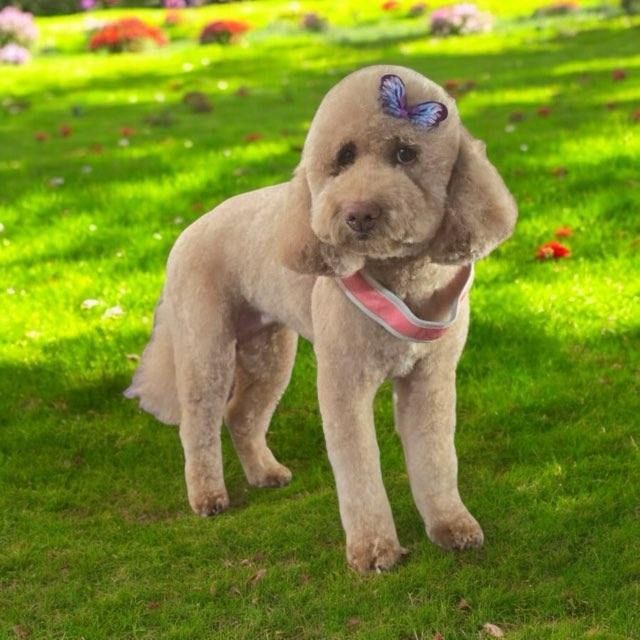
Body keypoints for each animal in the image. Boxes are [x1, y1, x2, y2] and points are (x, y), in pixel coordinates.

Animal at [124, 65, 516, 572]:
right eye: (343, 157)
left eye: (406, 153)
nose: (359, 214)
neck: (397, 275)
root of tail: (188, 230)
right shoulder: (345, 380)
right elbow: (358, 467)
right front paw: (374, 550)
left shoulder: (430, 377)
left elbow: (435, 456)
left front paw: (451, 526)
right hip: (205, 345)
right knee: (200, 421)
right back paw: (208, 497)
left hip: (268, 351)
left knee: (242, 414)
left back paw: (265, 473)